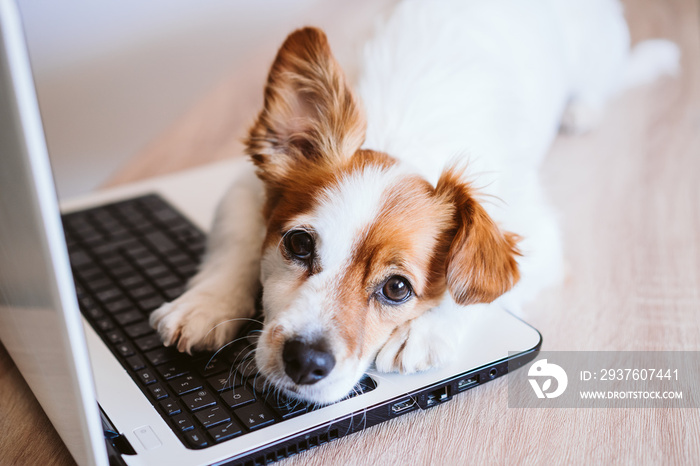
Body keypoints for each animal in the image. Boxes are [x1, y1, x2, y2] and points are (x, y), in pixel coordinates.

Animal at [148, 0, 680, 404]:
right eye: (298, 244)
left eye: (397, 289)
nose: (305, 362)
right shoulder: (243, 187)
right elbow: (237, 242)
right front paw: (207, 304)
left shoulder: (540, 241)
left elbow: (480, 289)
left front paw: (424, 332)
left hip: (597, 57)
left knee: (604, 82)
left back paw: (582, 109)